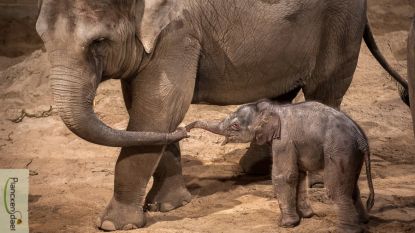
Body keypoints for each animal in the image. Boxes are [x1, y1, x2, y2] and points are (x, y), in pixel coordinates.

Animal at [187, 100, 376, 233]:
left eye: (235, 126)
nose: (187, 129)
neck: (274, 108)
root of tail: (362, 139)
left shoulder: (284, 140)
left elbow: (283, 175)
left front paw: (286, 224)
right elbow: (299, 174)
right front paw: (306, 216)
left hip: (339, 150)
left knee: (336, 189)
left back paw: (348, 230)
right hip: (351, 154)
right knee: (352, 187)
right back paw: (364, 221)